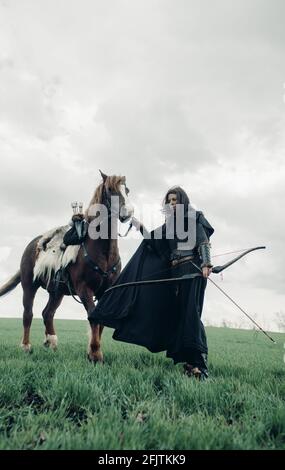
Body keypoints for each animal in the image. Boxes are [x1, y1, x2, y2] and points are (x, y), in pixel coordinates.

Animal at [0, 171, 133, 362]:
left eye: (126, 190)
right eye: (109, 189)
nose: (127, 212)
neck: (103, 252)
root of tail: (33, 244)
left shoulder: (105, 292)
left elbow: (100, 318)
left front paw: (93, 351)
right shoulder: (84, 289)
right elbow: (93, 316)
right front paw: (95, 354)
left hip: (57, 292)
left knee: (47, 313)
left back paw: (52, 343)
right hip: (29, 286)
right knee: (28, 313)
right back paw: (26, 346)